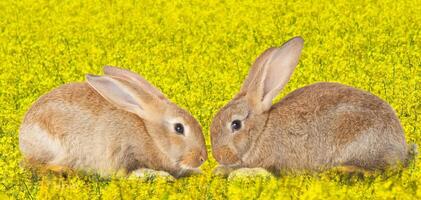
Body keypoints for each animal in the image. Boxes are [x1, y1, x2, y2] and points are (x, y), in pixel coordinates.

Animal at [19, 66, 207, 178]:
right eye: (179, 128)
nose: (202, 158)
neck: (150, 135)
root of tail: (23, 134)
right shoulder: (121, 155)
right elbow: (129, 174)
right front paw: (161, 176)